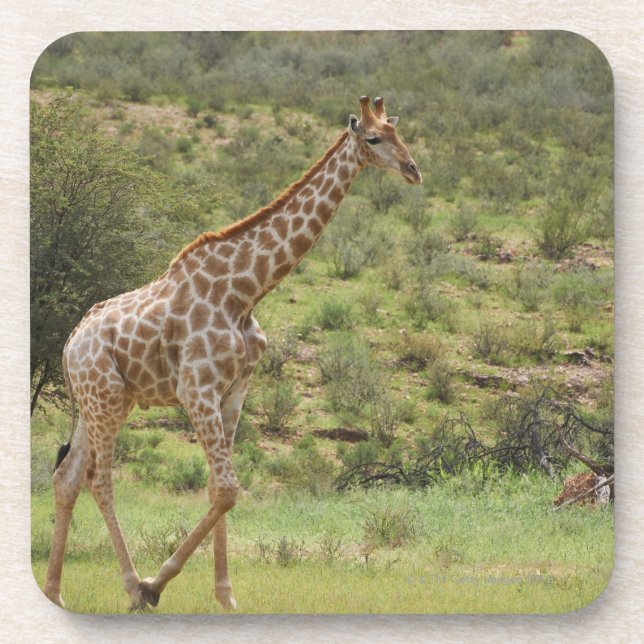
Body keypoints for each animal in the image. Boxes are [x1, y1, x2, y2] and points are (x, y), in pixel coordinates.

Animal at [43, 95, 421, 611]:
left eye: (400, 133)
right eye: (374, 138)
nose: (413, 169)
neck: (246, 291)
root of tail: (69, 343)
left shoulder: (234, 389)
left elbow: (216, 488)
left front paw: (226, 598)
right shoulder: (195, 388)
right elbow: (227, 488)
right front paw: (157, 584)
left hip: (99, 401)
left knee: (67, 477)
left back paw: (54, 593)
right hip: (106, 399)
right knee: (99, 479)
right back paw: (132, 586)